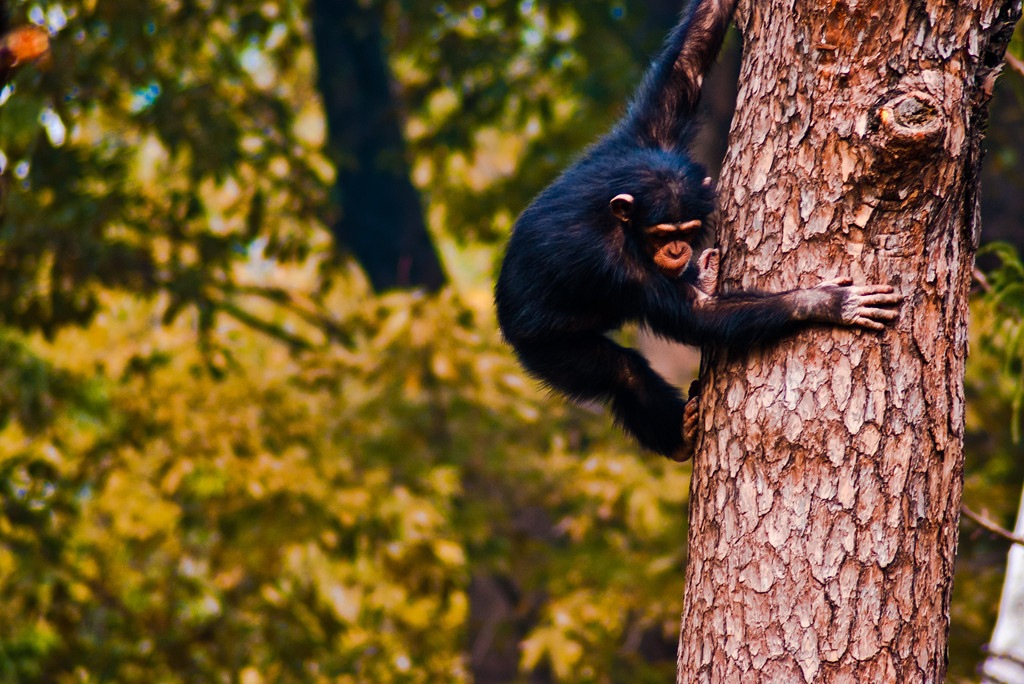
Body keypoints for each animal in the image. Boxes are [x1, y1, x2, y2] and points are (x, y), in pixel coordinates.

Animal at [491, 0, 901, 462]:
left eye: (685, 231)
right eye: (659, 234)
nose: (676, 251)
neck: (626, 223)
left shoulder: (645, 137)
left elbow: (685, 68)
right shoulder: (614, 265)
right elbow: (698, 316)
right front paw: (826, 302)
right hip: (543, 347)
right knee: (621, 373)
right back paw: (677, 438)